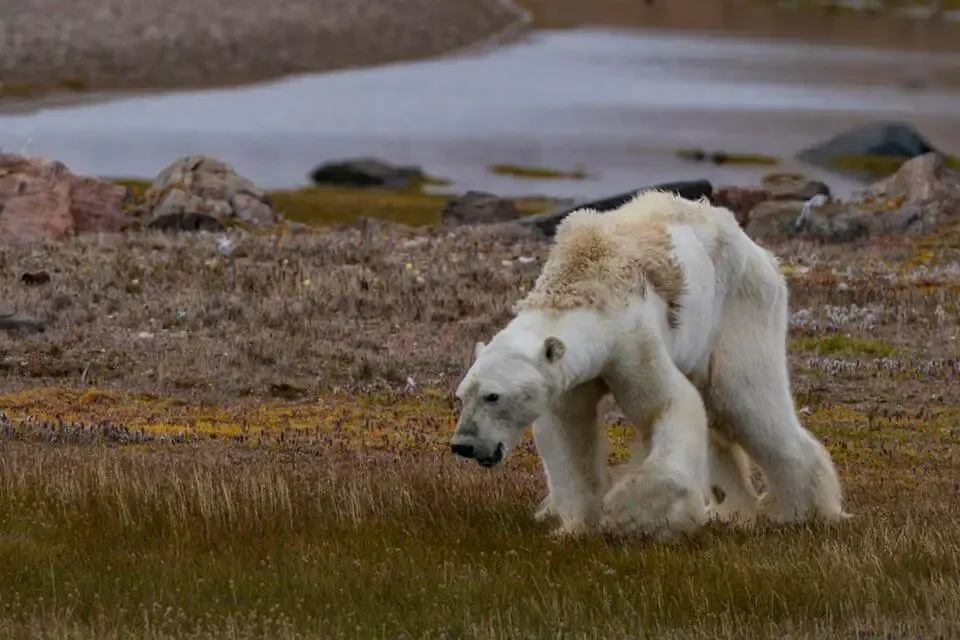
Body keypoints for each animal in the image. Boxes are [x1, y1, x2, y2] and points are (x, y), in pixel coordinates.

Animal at [450, 189, 849, 539]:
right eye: (462, 395)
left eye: (493, 396)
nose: (463, 445)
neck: (582, 283)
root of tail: (761, 251)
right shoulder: (570, 377)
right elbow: (568, 432)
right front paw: (574, 526)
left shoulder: (632, 340)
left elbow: (668, 406)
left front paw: (628, 513)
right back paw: (733, 510)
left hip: (739, 308)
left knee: (745, 400)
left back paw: (798, 511)